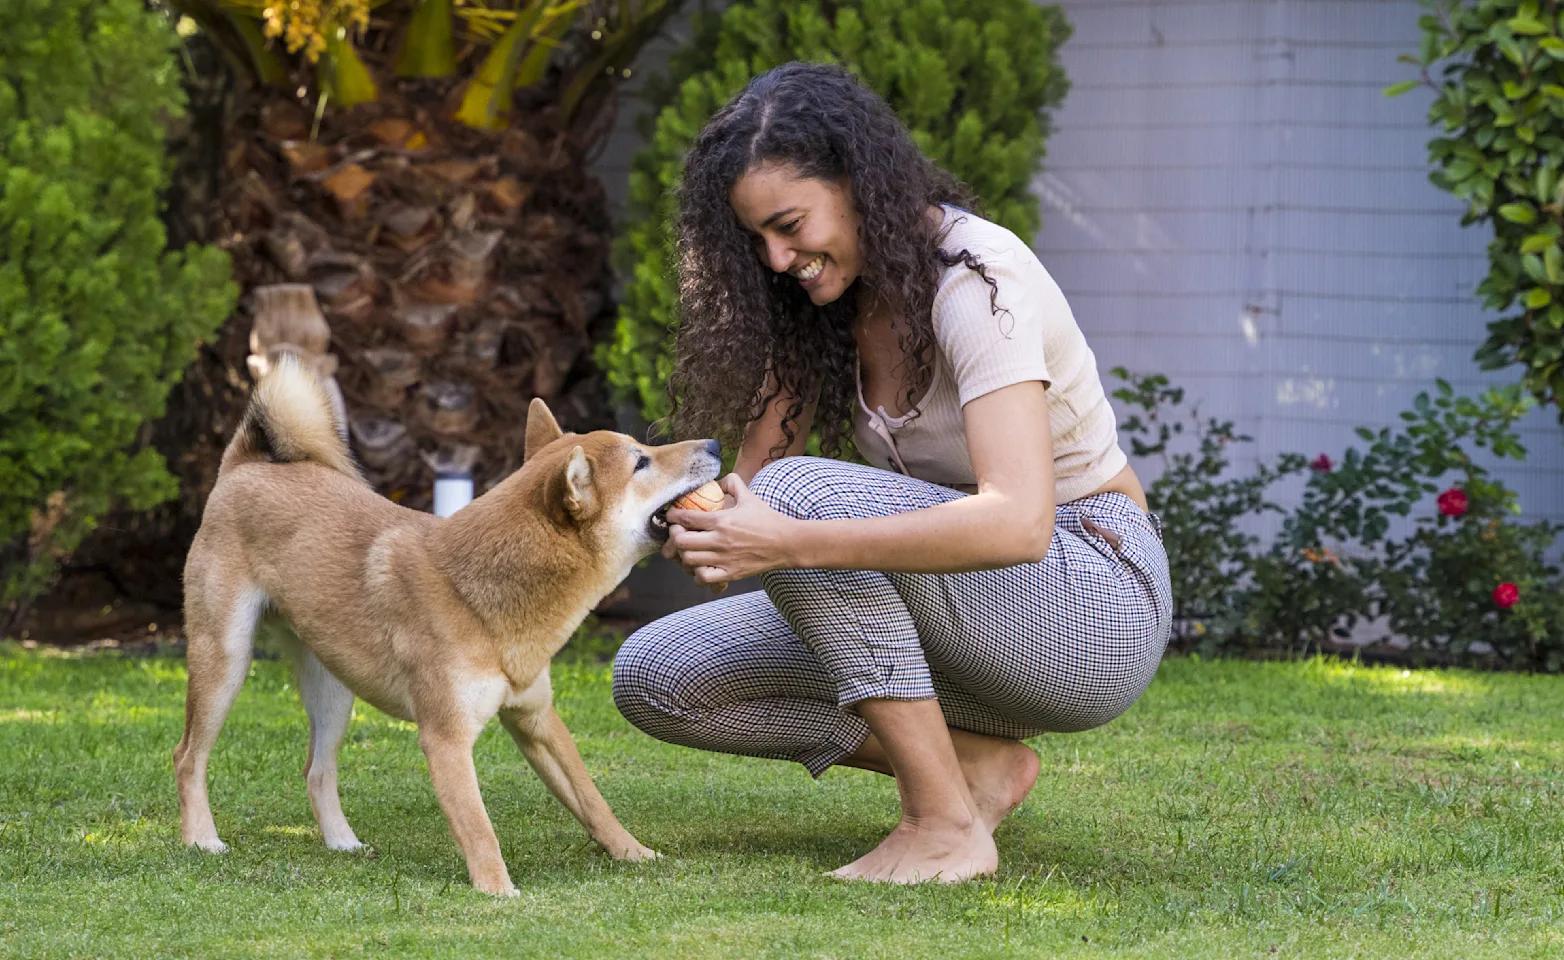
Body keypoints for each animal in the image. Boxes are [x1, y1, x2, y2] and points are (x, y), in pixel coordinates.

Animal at [174, 358, 722, 900]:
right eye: (641, 462)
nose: (715, 444)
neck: (477, 595)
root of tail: (245, 465)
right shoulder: (447, 740)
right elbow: (478, 828)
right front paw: (497, 890)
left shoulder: (537, 719)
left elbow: (592, 800)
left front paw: (634, 853)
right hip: (225, 662)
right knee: (188, 757)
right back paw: (202, 839)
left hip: (333, 689)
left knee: (316, 770)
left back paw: (342, 842)